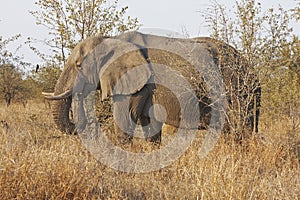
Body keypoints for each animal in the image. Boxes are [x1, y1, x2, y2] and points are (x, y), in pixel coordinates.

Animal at [44, 30, 260, 144]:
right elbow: (150, 127)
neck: (110, 39)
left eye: (78, 65)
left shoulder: (136, 84)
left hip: (238, 91)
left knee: (240, 131)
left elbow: (124, 122)